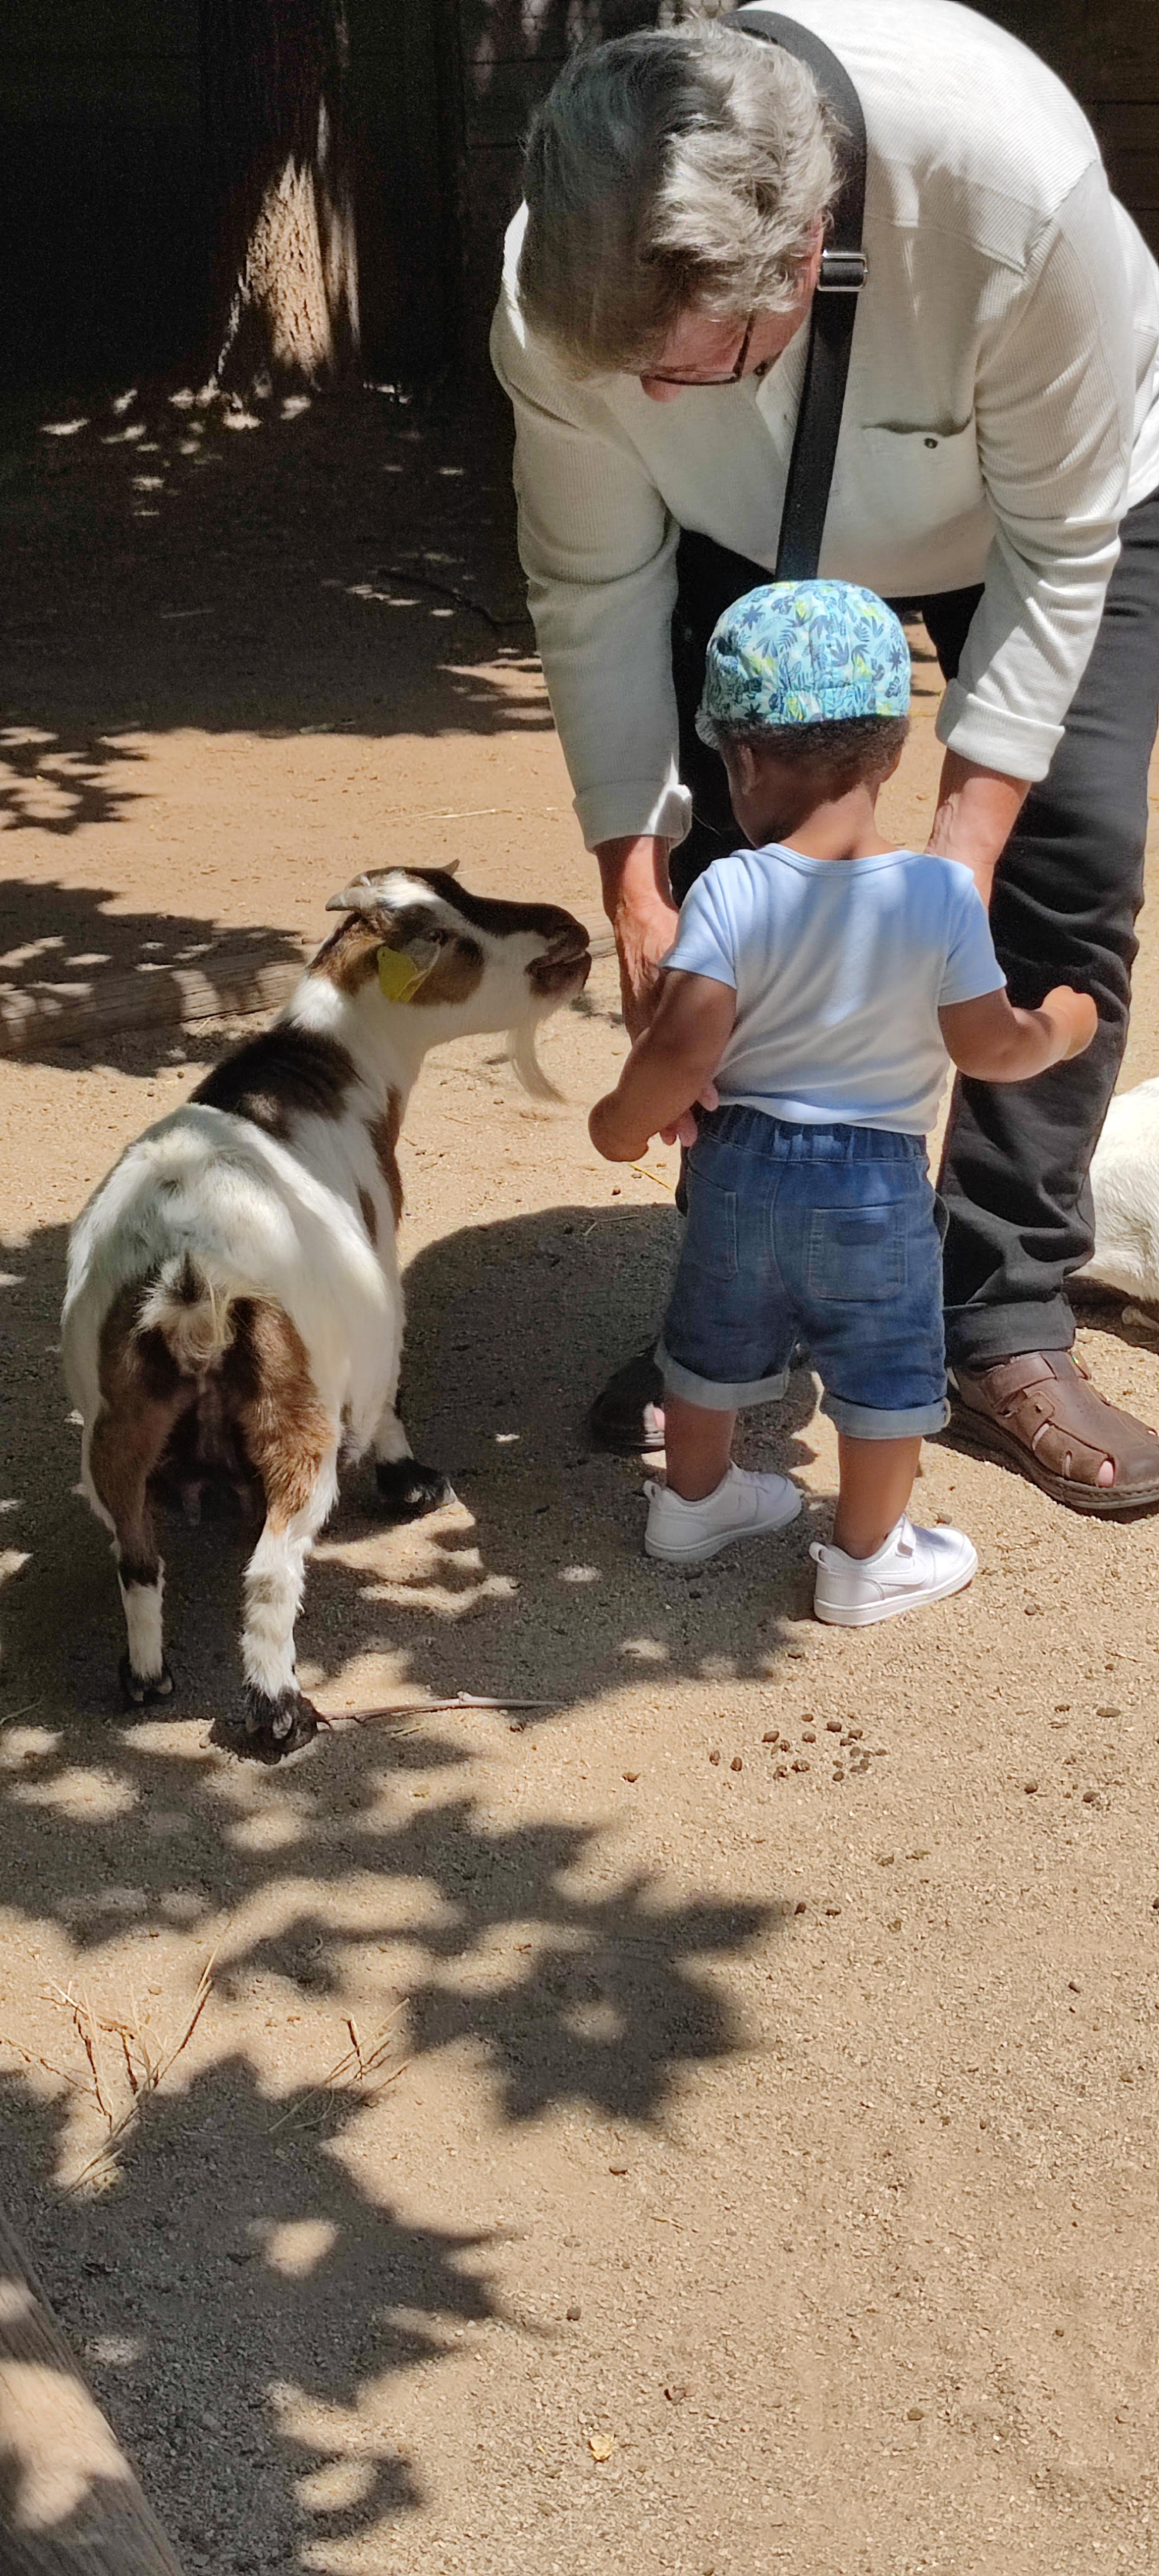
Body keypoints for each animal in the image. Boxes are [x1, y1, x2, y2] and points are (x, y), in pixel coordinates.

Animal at [62, 865, 590, 1758]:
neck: (324, 1069)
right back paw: (281, 1714)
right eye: (454, 937)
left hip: (120, 1428)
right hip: (294, 1413)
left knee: (135, 1558)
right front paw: (412, 1482)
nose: (571, 933)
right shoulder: (379, 1300)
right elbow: (389, 1402)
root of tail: (189, 1271)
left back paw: (146, 1680)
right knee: (272, 1571)